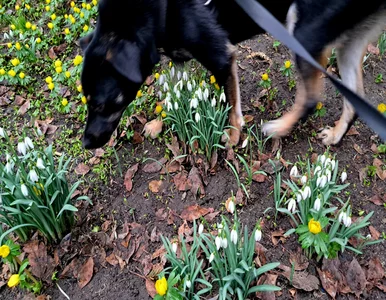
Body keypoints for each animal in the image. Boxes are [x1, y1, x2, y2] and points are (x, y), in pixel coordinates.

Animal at [79, 0, 386, 149]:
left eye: (103, 105)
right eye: (87, 101)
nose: (85, 144)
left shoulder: (222, 56)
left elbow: (232, 105)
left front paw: (233, 137)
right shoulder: (178, 56)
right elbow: (173, 95)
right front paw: (157, 123)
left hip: (302, 32)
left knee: (310, 99)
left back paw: (279, 128)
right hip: (348, 44)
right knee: (354, 101)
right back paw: (335, 136)